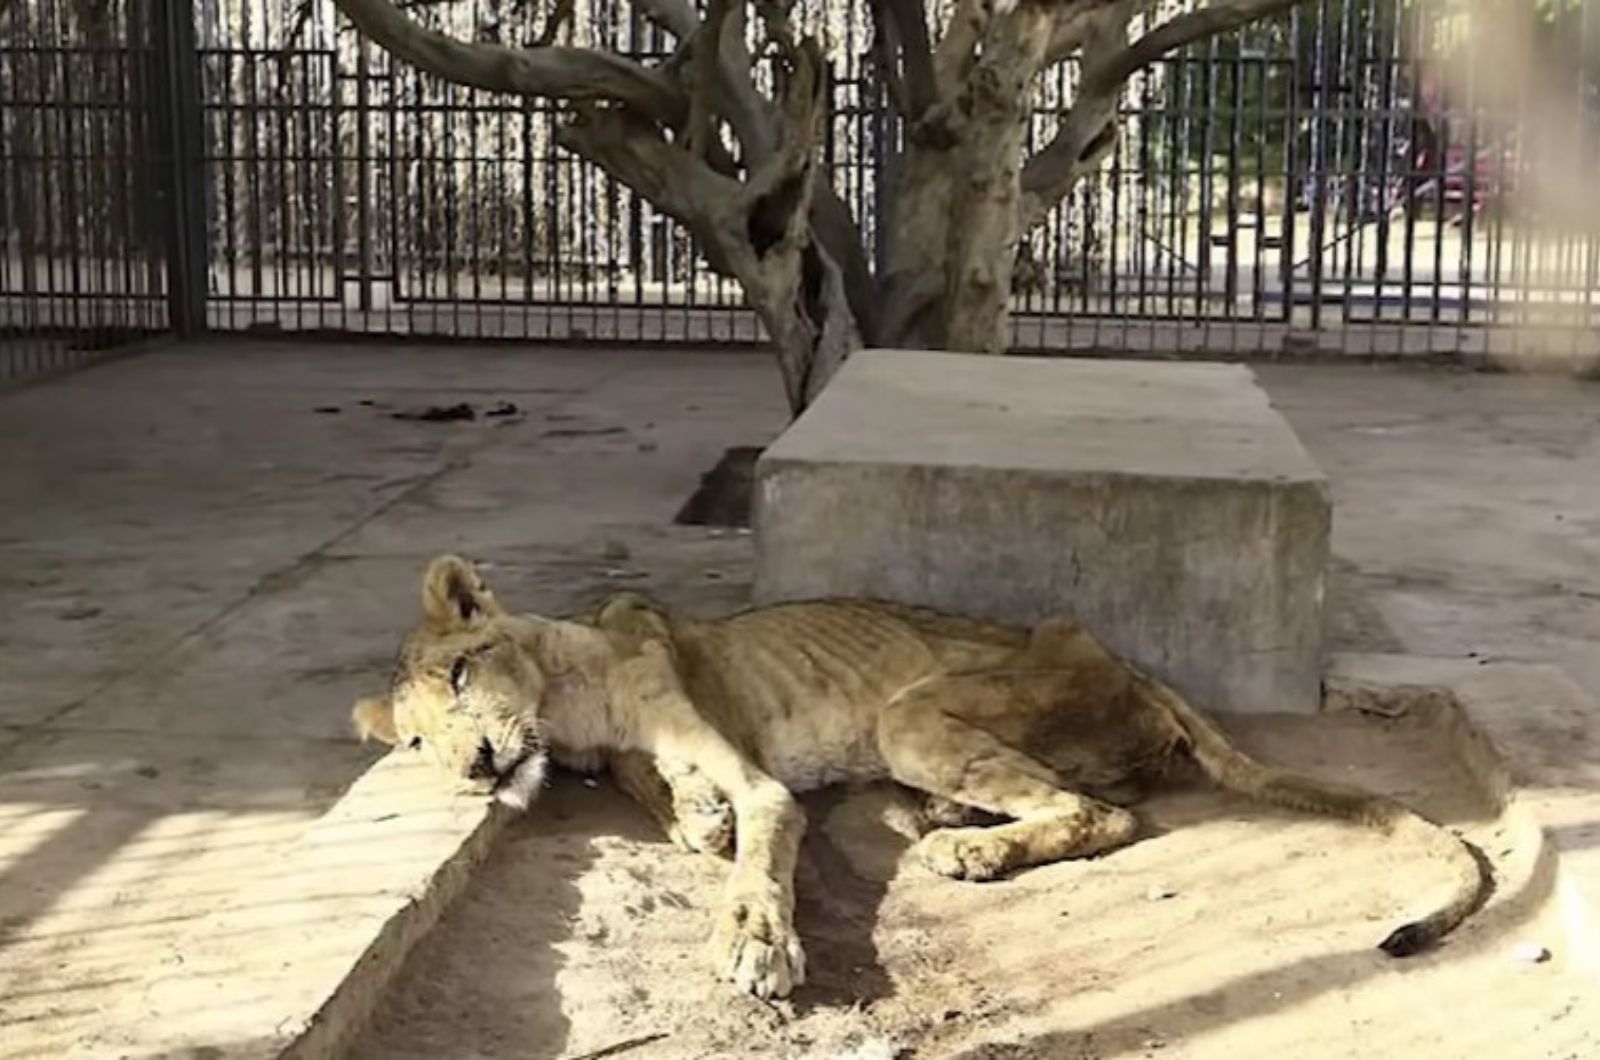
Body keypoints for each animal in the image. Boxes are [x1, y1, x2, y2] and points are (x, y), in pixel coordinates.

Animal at [350, 557, 1484, 1005]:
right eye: (413, 743)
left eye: (461, 674)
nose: (472, 764)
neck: (570, 701)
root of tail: (1131, 665)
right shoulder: (624, 753)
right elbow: (662, 799)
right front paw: (691, 814)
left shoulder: (748, 763)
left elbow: (756, 849)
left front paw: (755, 942)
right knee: (1099, 796)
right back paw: (936, 816)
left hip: (916, 710)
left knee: (1102, 813)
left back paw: (966, 845)